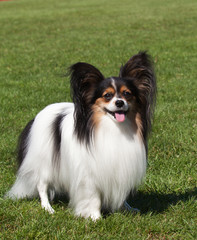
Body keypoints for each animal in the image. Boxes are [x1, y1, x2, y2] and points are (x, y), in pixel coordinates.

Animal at [6, 51, 156, 220]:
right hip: (44, 163)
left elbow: (121, 195)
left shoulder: (119, 169)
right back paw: (47, 208)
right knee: (41, 185)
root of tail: (37, 116)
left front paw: (126, 209)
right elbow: (94, 197)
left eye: (127, 94)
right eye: (107, 95)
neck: (114, 127)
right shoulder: (89, 174)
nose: (119, 103)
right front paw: (95, 218)